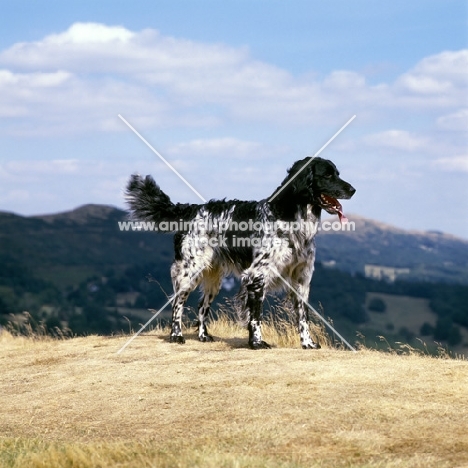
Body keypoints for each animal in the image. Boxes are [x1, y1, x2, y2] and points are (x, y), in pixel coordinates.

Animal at [125, 156, 354, 348]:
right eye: (327, 175)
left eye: (337, 173)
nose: (353, 190)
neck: (290, 217)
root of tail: (191, 210)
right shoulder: (257, 275)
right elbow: (255, 316)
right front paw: (257, 342)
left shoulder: (301, 278)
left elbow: (303, 316)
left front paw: (307, 343)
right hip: (189, 271)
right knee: (177, 304)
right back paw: (176, 335)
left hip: (213, 278)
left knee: (201, 306)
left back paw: (203, 336)